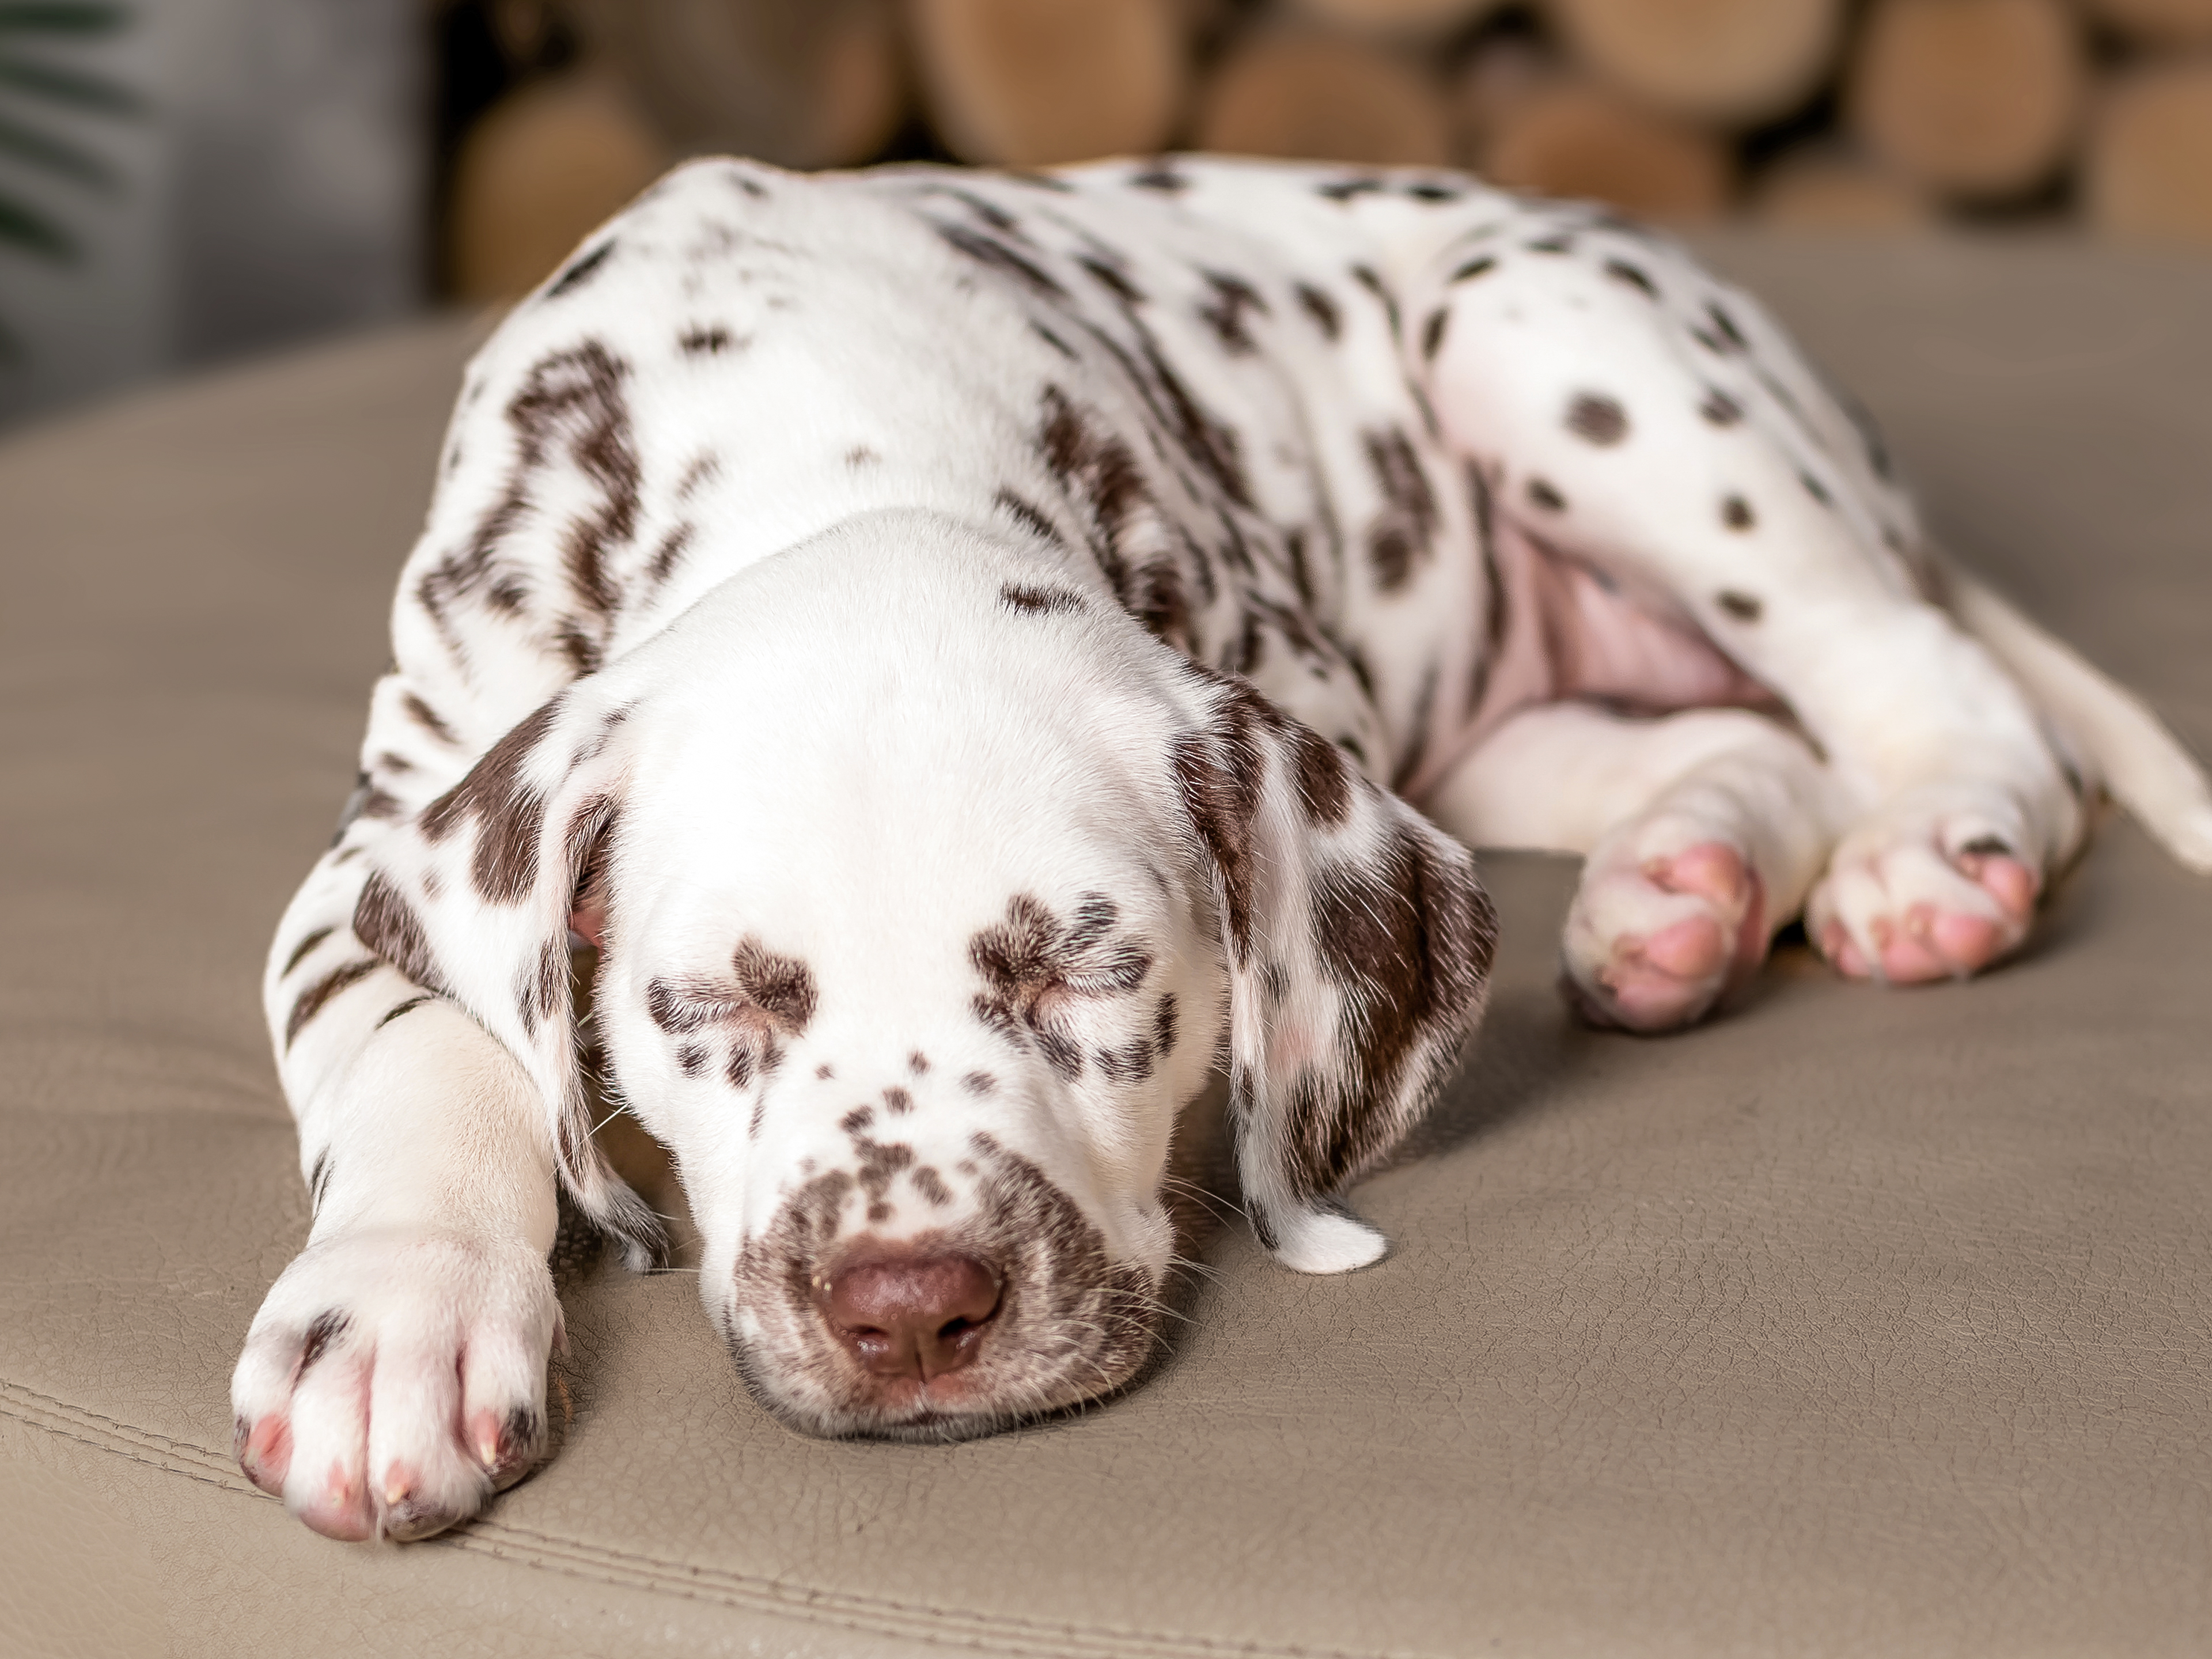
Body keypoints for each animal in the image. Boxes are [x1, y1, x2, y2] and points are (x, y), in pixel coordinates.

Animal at [229, 156, 2212, 1548]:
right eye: (714, 1002)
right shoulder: (378, 846)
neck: (823, 430)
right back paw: (1683, 898)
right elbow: (425, 1044)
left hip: (1553, 343)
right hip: (1504, 718)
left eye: (1087, 968)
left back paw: (1931, 857)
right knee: (1755, 744)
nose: (910, 1309)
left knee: (1924, 688)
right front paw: (395, 1320)